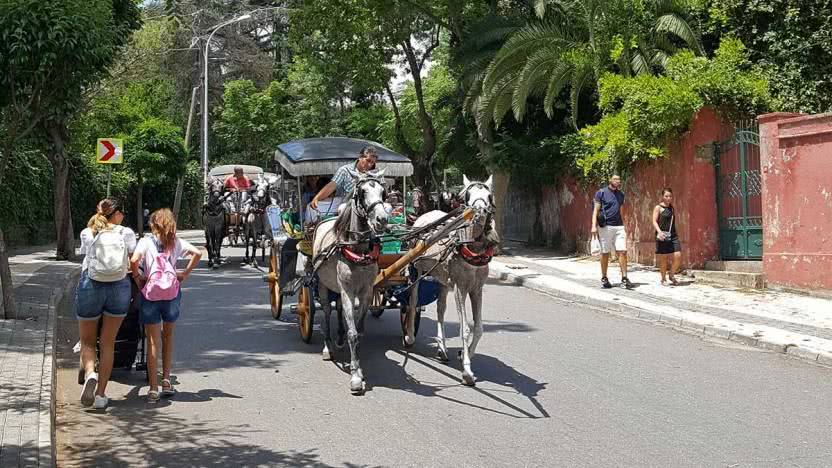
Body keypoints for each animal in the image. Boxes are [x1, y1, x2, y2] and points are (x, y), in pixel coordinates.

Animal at [312, 170, 390, 394]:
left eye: (383, 192)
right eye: (362, 192)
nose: (382, 219)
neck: (357, 248)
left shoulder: (366, 291)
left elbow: (358, 328)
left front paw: (357, 365)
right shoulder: (347, 290)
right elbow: (353, 333)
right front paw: (356, 376)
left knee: (337, 308)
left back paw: (339, 338)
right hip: (322, 284)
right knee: (327, 311)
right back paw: (328, 346)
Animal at [406, 174, 498, 386]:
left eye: (489, 196)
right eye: (468, 196)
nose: (480, 212)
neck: (472, 249)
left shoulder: (476, 289)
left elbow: (479, 328)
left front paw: (464, 354)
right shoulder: (459, 288)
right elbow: (465, 328)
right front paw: (467, 371)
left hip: (442, 280)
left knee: (440, 309)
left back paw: (442, 348)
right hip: (416, 270)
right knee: (413, 302)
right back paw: (410, 336)